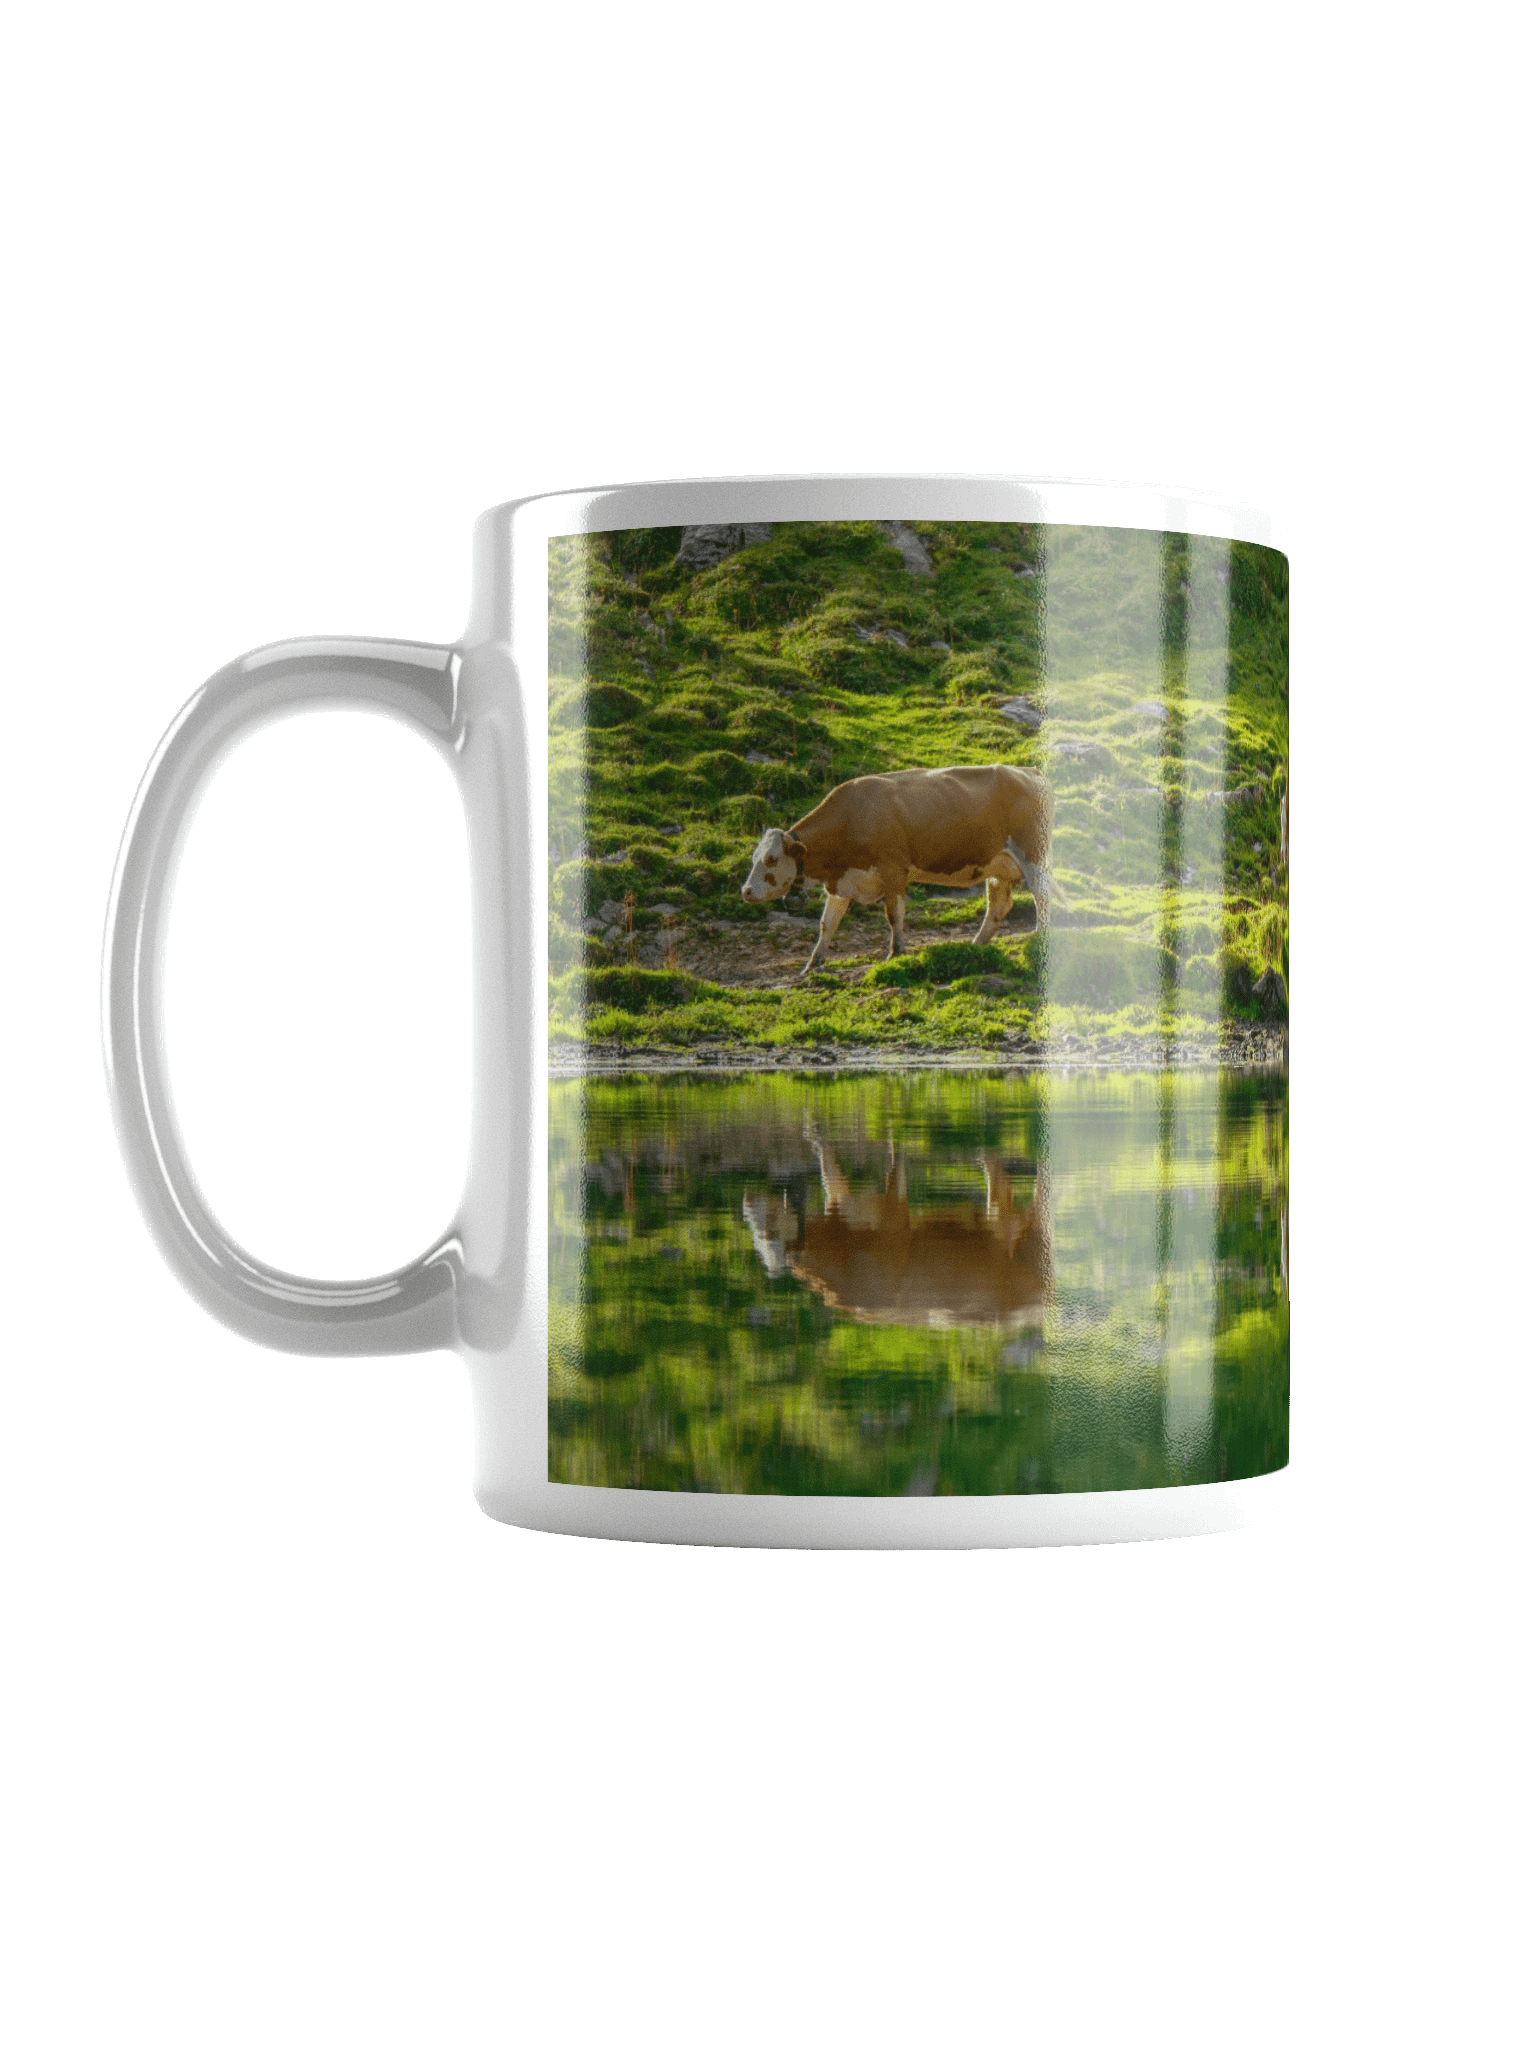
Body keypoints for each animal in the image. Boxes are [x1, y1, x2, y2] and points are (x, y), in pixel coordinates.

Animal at [740, 764, 1053, 978]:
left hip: (1032, 856)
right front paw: (811, 965)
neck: (852, 817)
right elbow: (827, 924)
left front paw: (896, 953)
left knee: (1041, 895)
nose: (745, 890)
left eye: (771, 858)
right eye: (754, 857)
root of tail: (1030, 771)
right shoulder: (843, 882)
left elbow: (894, 916)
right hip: (998, 865)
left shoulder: (893, 872)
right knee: (999, 905)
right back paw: (976, 945)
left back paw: (1038, 936)